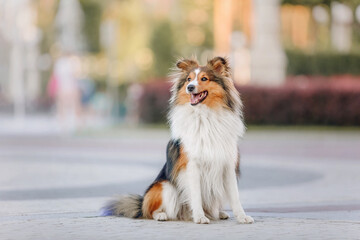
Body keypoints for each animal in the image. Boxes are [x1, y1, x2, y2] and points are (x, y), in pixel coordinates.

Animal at [102, 57, 255, 224]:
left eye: (204, 79)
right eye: (188, 79)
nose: (190, 87)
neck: (204, 115)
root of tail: (141, 204)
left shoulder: (227, 165)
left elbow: (235, 196)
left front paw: (242, 216)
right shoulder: (192, 165)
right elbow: (196, 195)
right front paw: (199, 217)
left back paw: (219, 213)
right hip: (165, 187)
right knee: (152, 211)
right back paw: (162, 215)